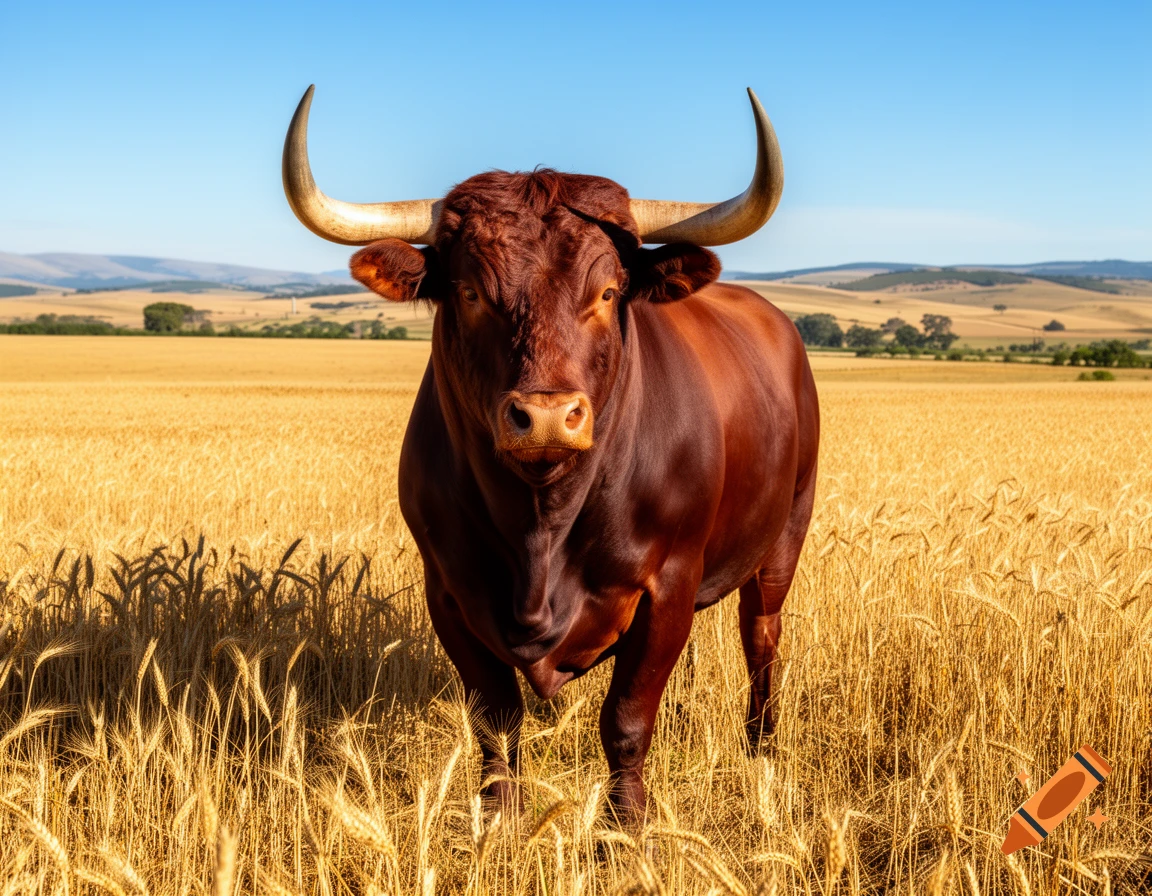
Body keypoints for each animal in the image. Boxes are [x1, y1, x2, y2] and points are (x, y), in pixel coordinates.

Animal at [282, 86, 819, 824]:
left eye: (608, 292)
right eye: (471, 292)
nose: (544, 417)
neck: (543, 522)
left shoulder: (668, 586)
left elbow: (626, 719)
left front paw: (626, 825)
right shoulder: (450, 592)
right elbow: (495, 717)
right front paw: (499, 817)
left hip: (784, 535)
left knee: (761, 637)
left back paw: (761, 746)